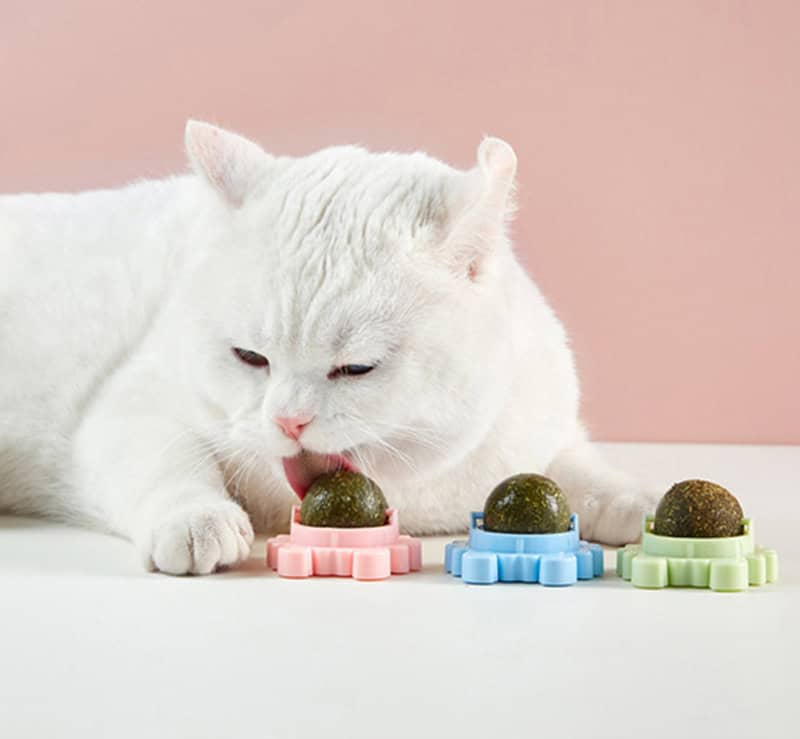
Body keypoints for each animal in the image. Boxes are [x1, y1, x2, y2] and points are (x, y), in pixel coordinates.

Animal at [0, 121, 660, 576]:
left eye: (356, 368)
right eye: (250, 358)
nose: (289, 421)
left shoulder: (536, 431)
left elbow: (576, 469)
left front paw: (636, 500)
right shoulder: (132, 403)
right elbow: (171, 463)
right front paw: (196, 518)